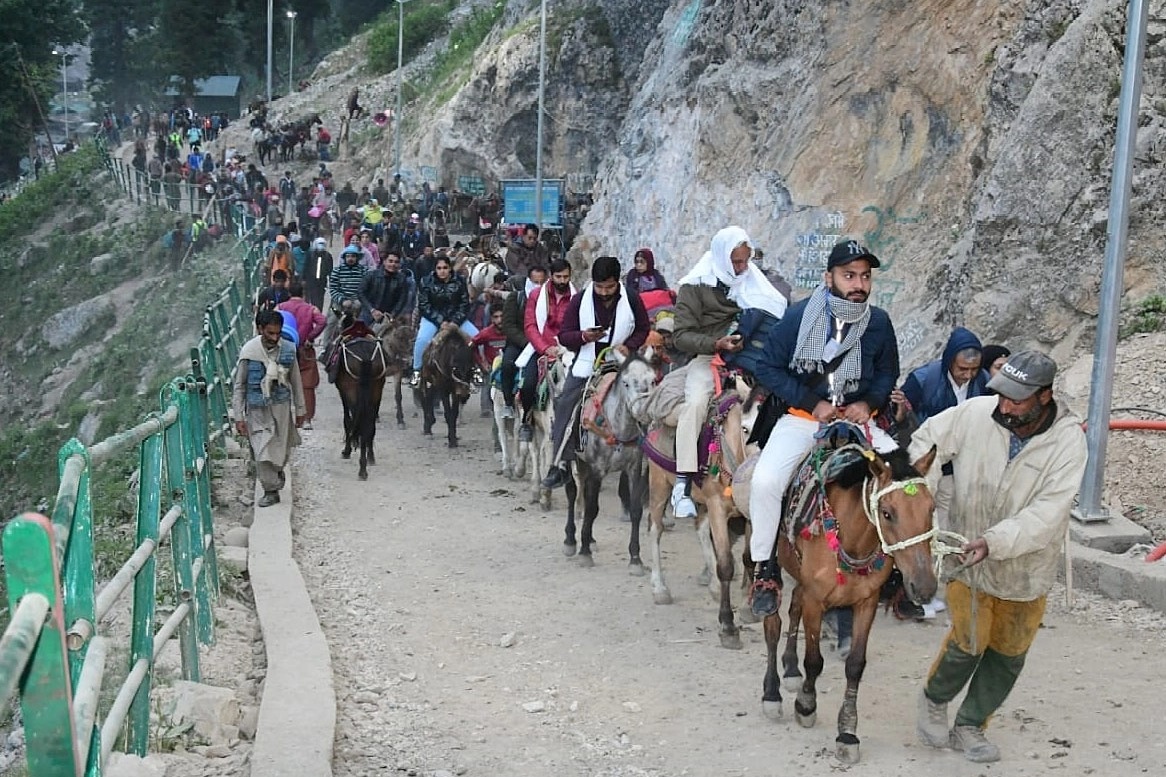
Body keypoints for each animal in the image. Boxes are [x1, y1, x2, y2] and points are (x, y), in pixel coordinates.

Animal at [335, 326, 389, 478]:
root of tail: (365, 357)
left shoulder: (343, 392)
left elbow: (348, 420)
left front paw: (347, 450)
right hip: (376, 390)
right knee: (369, 424)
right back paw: (369, 458)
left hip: (352, 392)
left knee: (357, 421)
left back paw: (362, 468)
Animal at [562, 347, 662, 567]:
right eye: (626, 382)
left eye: (652, 380)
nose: (643, 412)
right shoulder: (597, 469)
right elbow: (591, 508)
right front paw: (584, 552)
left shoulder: (634, 468)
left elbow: (635, 509)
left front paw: (635, 558)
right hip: (570, 458)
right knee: (572, 492)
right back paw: (571, 540)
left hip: (584, 464)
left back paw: (590, 539)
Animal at [741, 436, 942, 760]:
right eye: (887, 513)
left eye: (930, 508)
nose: (924, 587)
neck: (851, 538)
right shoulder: (817, 601)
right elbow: (814, 660)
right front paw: (806, 705)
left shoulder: (866, 602)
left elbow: (855, 665)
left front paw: (847, 731)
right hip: (766, 560)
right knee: (772, 624)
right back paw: (772, 693)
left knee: (794, 605)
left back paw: (791, 669)